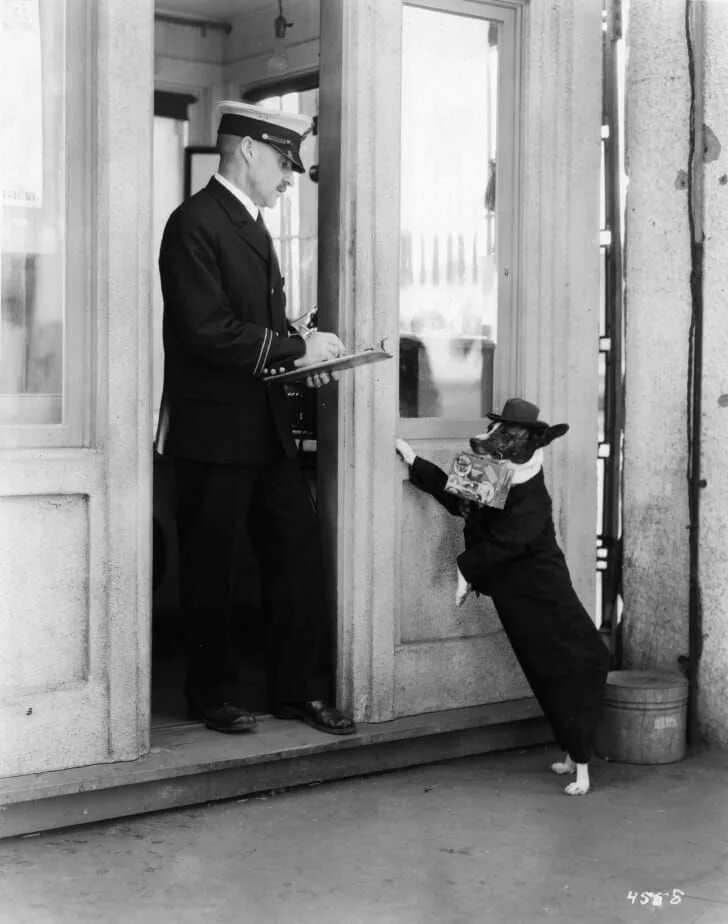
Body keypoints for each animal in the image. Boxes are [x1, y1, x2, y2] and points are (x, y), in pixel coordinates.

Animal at [396, 398, 612, 796]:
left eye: (509, 433)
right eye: (489, 427)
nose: (472, 440)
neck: (514, 476)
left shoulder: (504, 540)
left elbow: (467, 560)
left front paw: (461, 591)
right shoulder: (462, 502)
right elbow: (436, 479)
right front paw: (405, 448)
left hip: (573, 697)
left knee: (581, 740)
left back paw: (581, 781)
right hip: (552, 698)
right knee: (567, 737)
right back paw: (565, 764)